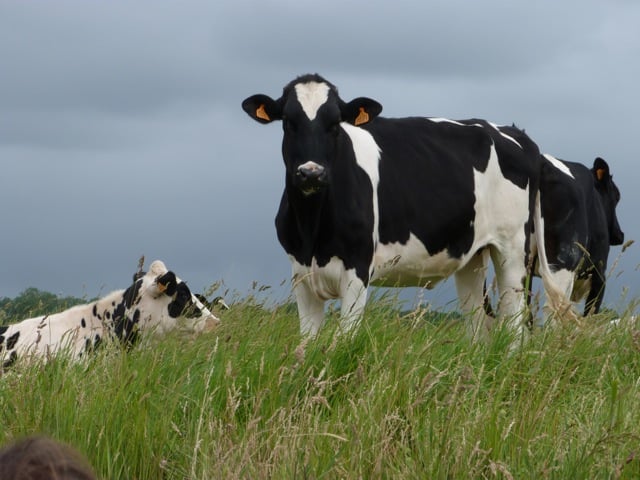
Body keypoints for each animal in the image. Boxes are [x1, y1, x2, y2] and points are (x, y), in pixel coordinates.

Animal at [242, 73, 564, 340]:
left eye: (334, 124)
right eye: (288, 122)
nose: (311, 173)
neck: (313, 231)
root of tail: (515, 133)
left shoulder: (358, 268)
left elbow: (343, 340)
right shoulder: (301, 273)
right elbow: (307, 344)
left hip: (513, 250)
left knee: (515, 325)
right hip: (473, 257)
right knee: (479, 324)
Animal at [533, 155, 624, 321]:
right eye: (616, 196)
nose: (619, 235)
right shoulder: (599, 273)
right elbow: (591, 313)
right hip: (564, 261)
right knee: (554, 308)